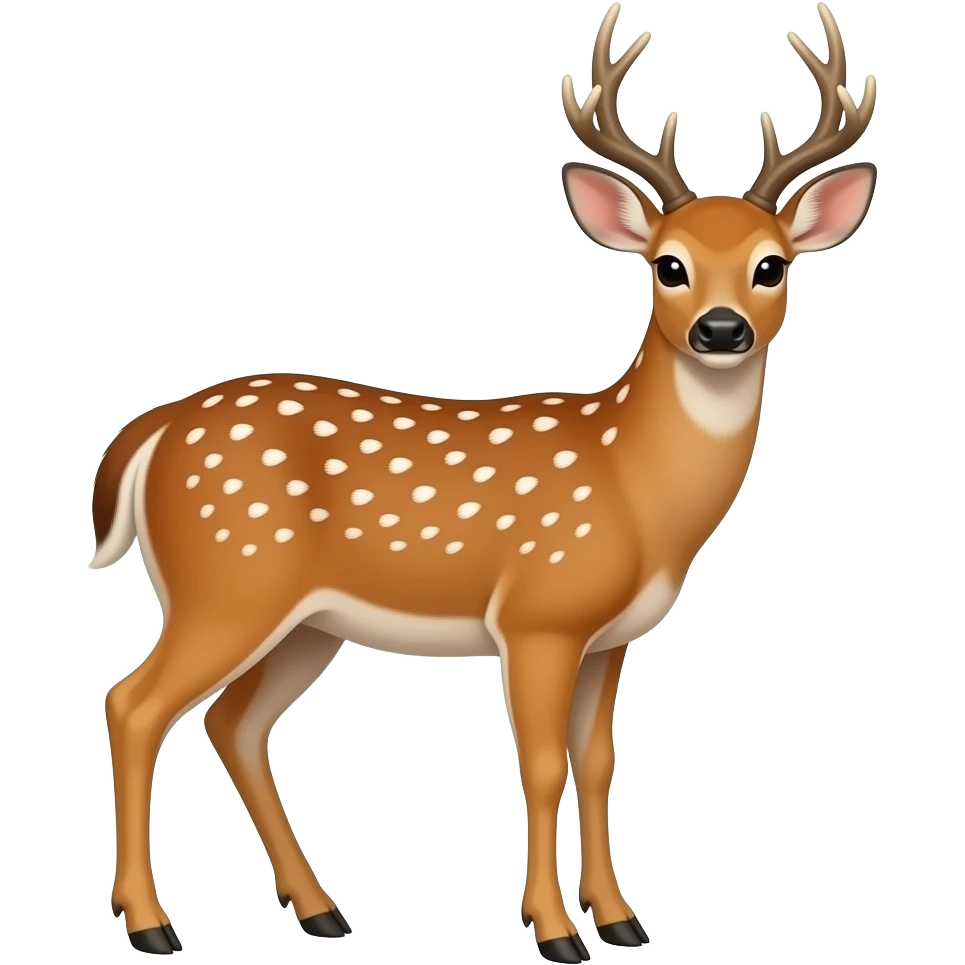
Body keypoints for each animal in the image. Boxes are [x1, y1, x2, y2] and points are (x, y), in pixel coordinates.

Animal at [90, 3, 876, 960]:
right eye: (667, 264)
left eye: (772, 264)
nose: (720, 330)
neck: (635, 487)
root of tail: (154, 427)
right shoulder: (538, 614)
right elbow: (538, 767)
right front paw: (555, 930)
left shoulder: (609, 636)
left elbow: (597, 763)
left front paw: (621, 919)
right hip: (225, 581)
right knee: (134, 704)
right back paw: (152, 922)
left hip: (304, 620)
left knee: (233, 722)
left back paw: (321, 909)